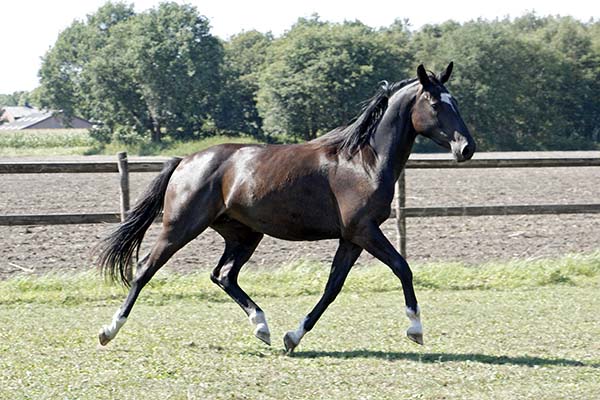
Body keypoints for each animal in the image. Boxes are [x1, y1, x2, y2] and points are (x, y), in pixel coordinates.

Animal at [96, 61, 476, 352]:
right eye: (435, 103)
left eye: (455, 101)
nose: (466, 148)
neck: (363, 160)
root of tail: (186, 160)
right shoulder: (364, 230)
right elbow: (402, 268)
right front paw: (415, 329)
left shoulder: (352, 238)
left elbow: (333, 287)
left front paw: (292, 337)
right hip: (181, 226)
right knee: (145, 268)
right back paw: (109, 330)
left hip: (244, 234)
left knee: (223, 275)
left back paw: (261, 326)